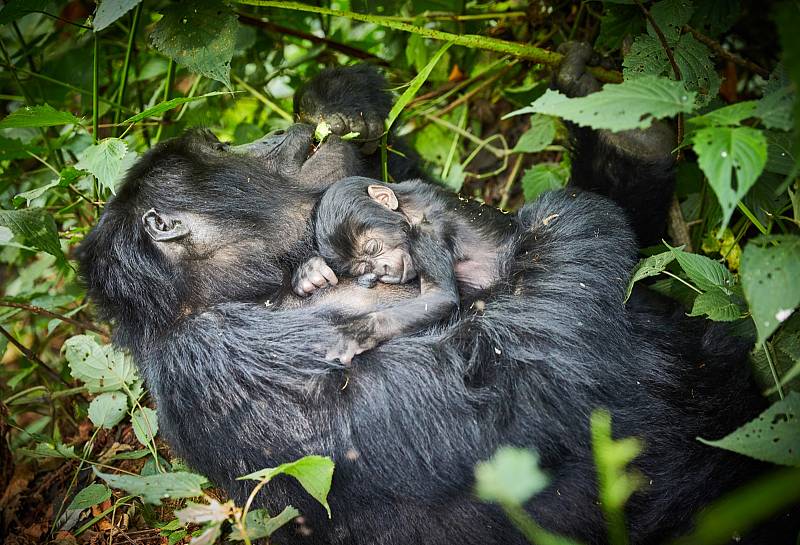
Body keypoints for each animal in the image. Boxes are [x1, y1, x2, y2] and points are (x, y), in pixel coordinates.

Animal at [290, 177, 516, 362]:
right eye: (363, 268)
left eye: (373, 247)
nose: (382, 269)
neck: (409, 207)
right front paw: (310, 273)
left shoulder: (427, 231)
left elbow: (440, 296)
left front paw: (361, 332)